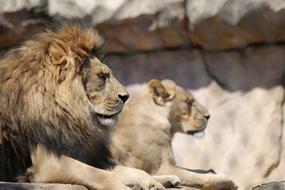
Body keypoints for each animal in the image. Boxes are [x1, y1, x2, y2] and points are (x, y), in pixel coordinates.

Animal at [0, 23, 164, 190]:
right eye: (101, 76)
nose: (126, 96)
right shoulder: (46, 164)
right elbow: (101, 175)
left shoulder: (86, 154)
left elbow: (130, 170)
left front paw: (151, 183)